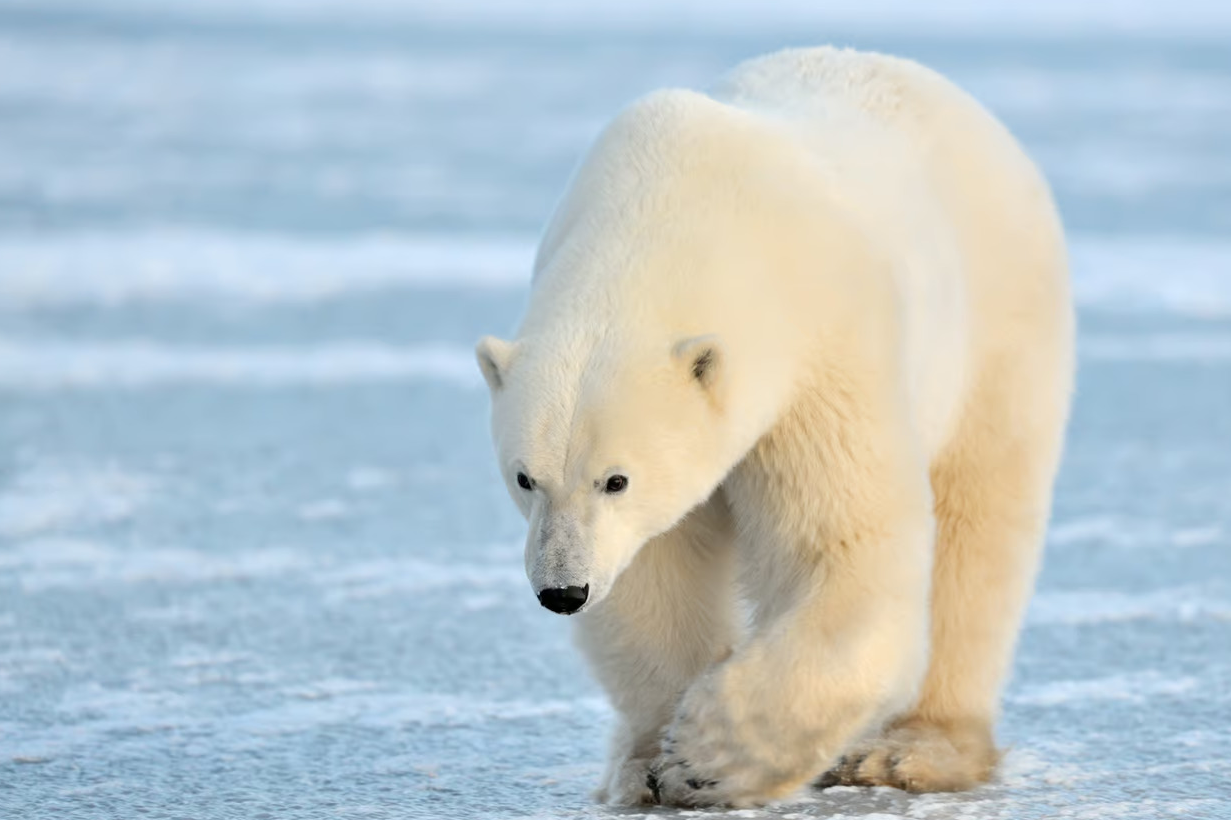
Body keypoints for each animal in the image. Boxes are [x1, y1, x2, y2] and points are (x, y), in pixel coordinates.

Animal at [475, 48, 1073, 807]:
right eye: (525, 478)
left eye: (616, 479)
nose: (561, 591)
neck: (675, 210)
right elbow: (652, 575)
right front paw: (652, 763)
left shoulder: (822, 354)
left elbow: (842, 547)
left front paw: (707, 755)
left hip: (997, 331)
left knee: (980, 529)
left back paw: (913, 751)